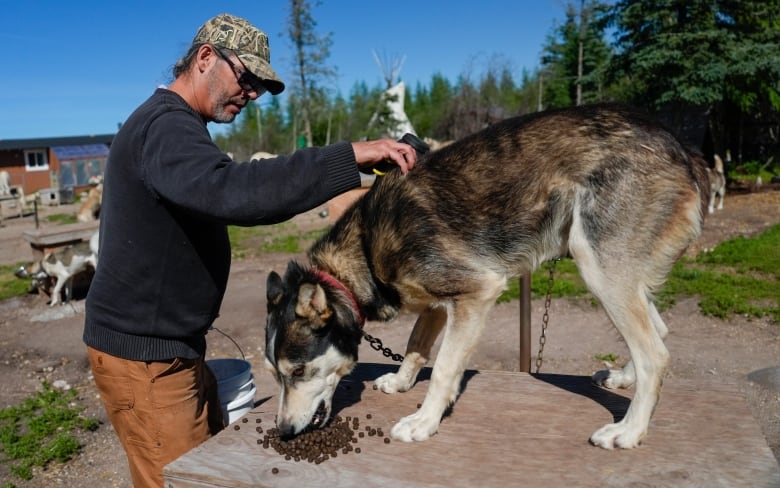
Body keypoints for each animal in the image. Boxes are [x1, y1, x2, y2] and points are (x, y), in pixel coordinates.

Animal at [266, 105, 708, 452]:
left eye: (298, 373)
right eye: (275, 375)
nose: (284, 431)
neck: (365, 244)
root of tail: (682, 148)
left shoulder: (477, 292)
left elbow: (443, 369)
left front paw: (424, 421)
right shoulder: (437, 305)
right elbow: (415, 348)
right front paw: (401, 382)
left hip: (596, 265)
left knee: (655, 354)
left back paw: (629, 431)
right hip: (614, 271)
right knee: (659, 329)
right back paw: (622, 378)